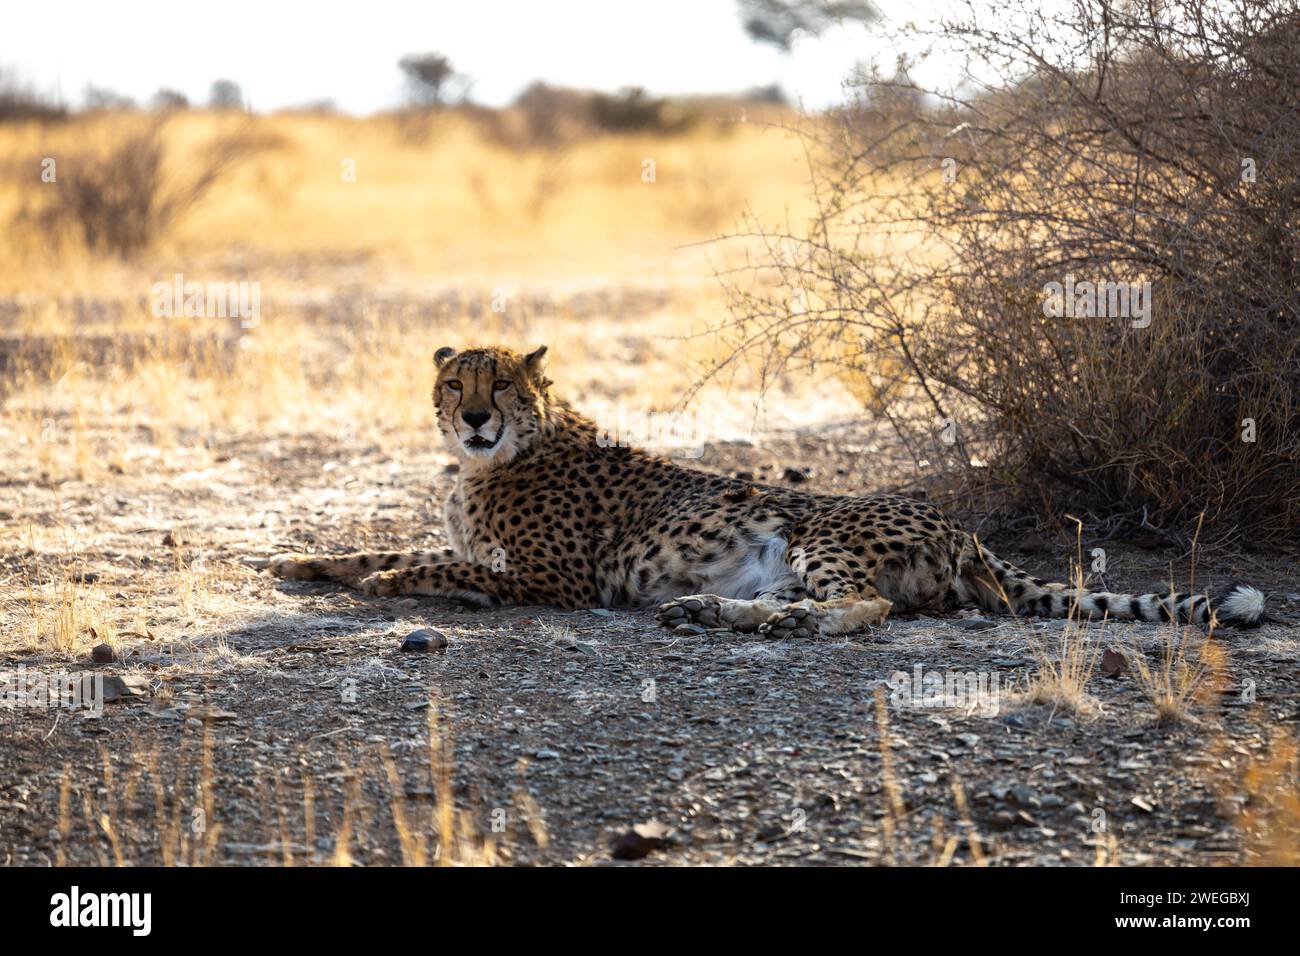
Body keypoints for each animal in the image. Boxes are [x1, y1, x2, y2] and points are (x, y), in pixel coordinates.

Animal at [266, 343, 1268, 634]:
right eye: (454, 382)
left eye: (503, 383)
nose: (475, 418)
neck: (498, 458)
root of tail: (961, 523)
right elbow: (395, 542)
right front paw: (301, 562)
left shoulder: (560, 581)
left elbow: (445, 567)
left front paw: (389, 584)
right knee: (816, 603)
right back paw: (716, 613)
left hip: (816, 530)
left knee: (864, 608)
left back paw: (771, 623)